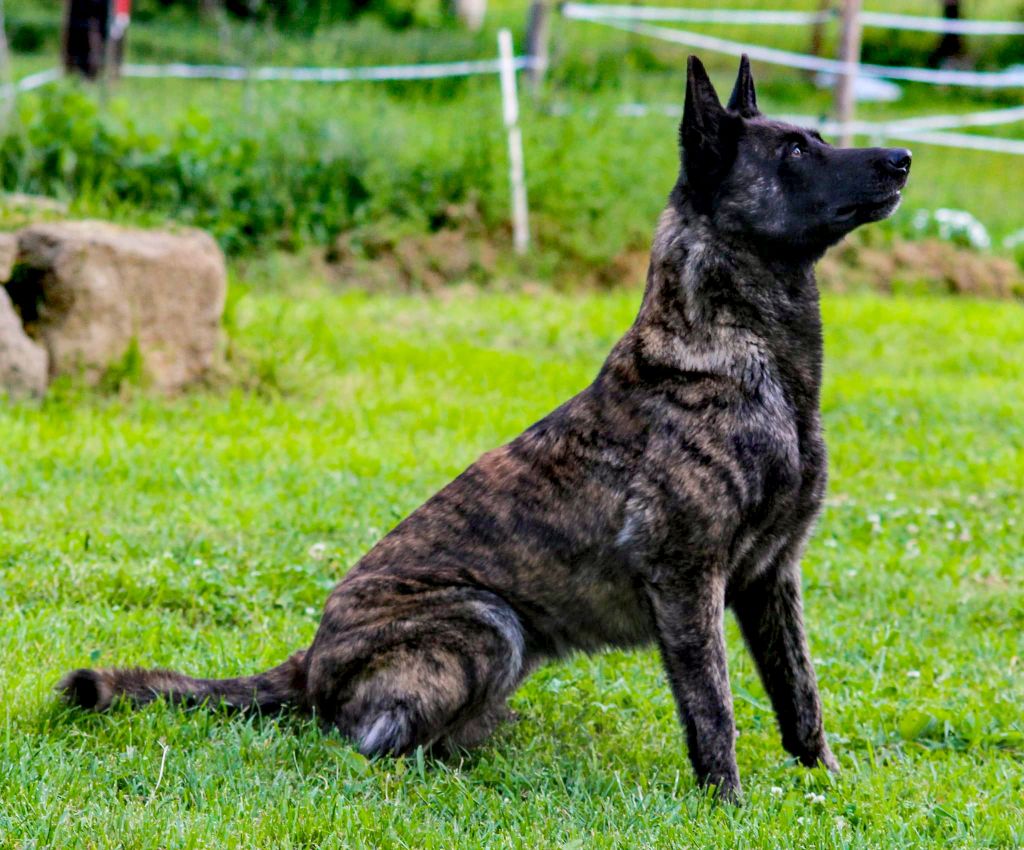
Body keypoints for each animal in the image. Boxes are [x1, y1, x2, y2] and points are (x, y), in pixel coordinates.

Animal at [59, 56, 913, 802]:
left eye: (815, 136)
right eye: (796, 151)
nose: (902, 158)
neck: (739, 354)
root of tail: (310, 660)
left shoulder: (772, 578)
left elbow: (800, 696)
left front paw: (824, 783)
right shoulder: (686, 578)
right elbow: (715, 709)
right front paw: (727, 804)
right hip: (486, 623)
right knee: (362, 743)